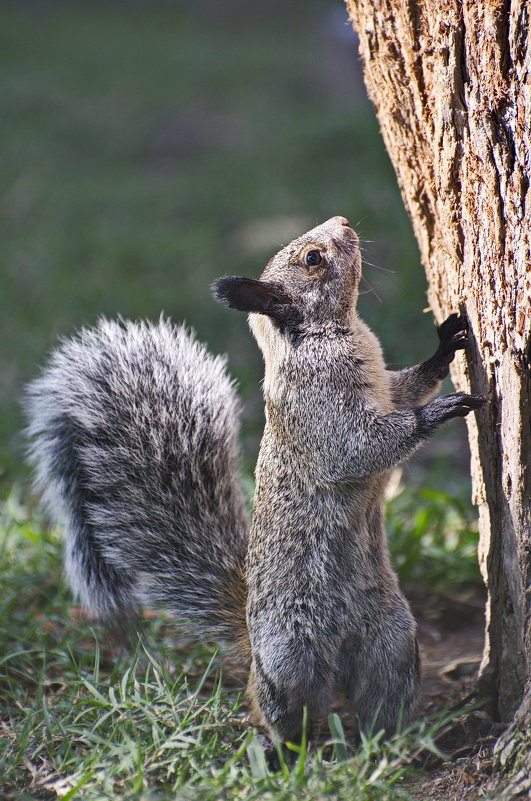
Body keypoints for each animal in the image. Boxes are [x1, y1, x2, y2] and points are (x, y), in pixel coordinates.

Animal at [23, 214, 486, 744]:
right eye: (313, 258)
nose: (344, 222)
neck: (331, 334)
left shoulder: (387, 388)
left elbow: (409, 385)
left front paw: (446, 346)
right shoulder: (322, 414)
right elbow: (360, 449)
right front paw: (440, 411)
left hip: (390, 643)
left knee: (381, 696)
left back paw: (392, 742)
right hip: (291, 654)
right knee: (279, 706)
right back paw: (282, 742)